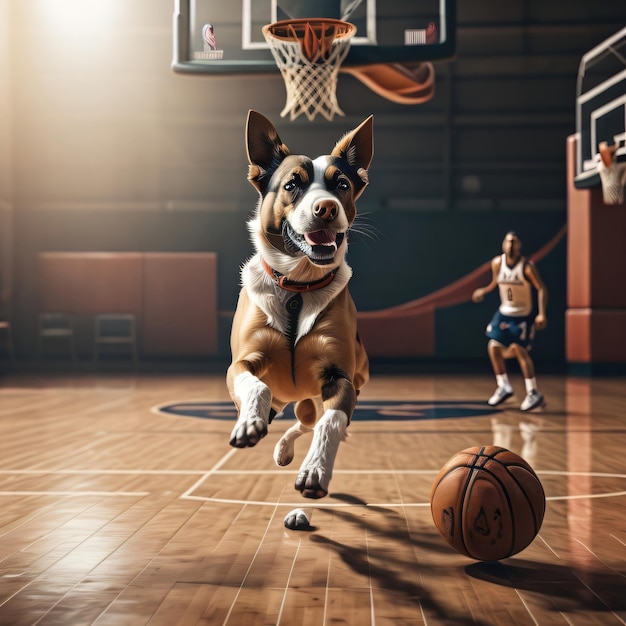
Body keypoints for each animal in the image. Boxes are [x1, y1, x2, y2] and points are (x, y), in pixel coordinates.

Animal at [228, 108, 370, 508]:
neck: (298, 287)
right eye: (293, 185)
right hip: (284, 398)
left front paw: (316, 470)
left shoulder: (339, 377)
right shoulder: (241, 363)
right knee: (292, 414)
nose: (327, 208)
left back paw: (289, 450)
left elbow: (330, 423)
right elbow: (254, 386)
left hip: (340, 386)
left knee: (310, 421)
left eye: (342, 185)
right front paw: (248, 423)